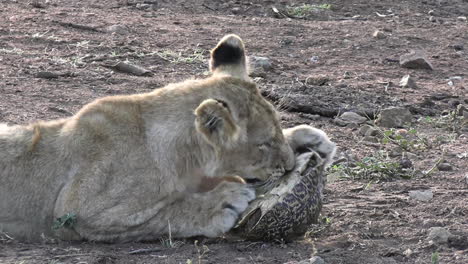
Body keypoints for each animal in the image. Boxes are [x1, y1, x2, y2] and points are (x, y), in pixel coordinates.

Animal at [0, 34, 336, 241]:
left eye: (277, 131)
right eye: (263, 145)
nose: (288, 165)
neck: (185, 158)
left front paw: (309, 139)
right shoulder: (76, 209)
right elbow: (166, 213)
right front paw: (219, 204)